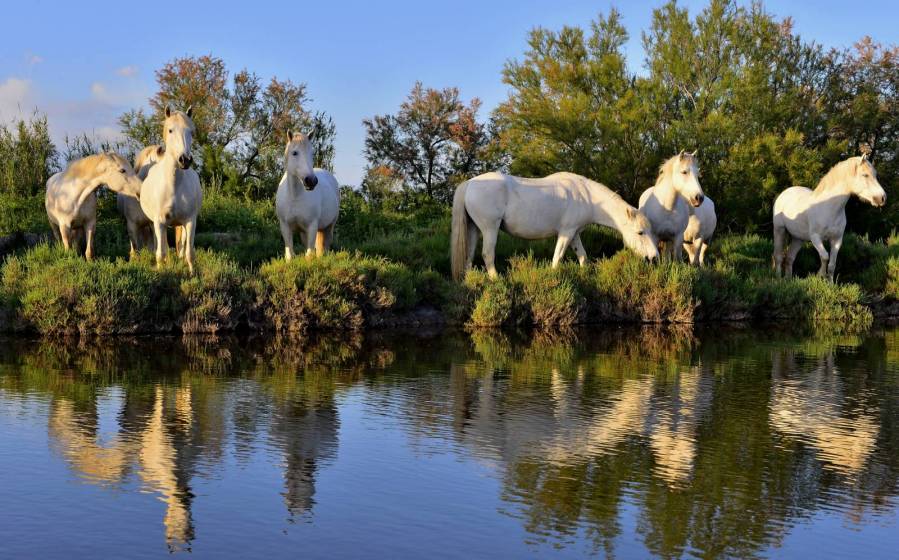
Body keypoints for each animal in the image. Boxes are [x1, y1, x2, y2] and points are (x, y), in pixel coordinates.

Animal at [139, 106, 202, 274]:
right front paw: (163, 271)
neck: (174, 186)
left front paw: (192, 274)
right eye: (171, 130)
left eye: (191, 131)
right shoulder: (159, 222)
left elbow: (189, 252)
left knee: (182, 244)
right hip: (154, 223)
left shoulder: (190, 221)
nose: (185, 160)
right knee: (161, 245)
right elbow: (161, 253)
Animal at [274, 130, 342, 260]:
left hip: (329, 225)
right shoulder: (285, 226)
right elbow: (290, 255)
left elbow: (309, 255)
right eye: (295, 153)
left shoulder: (312, 226)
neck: (295, 196)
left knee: (326, 243)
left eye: (311, 153)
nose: (311, 181)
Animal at [454, 171, 656, 282]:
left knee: (469, 254)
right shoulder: (566, 233)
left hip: (474, 229)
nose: (654, 257)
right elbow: (557, 258)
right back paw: (496, 279)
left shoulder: (574, 234)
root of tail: (470, 183)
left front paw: (585, 275)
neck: (587, 197)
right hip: (490, 228)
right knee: (487, 254)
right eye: (640, 232)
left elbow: (582, 256)